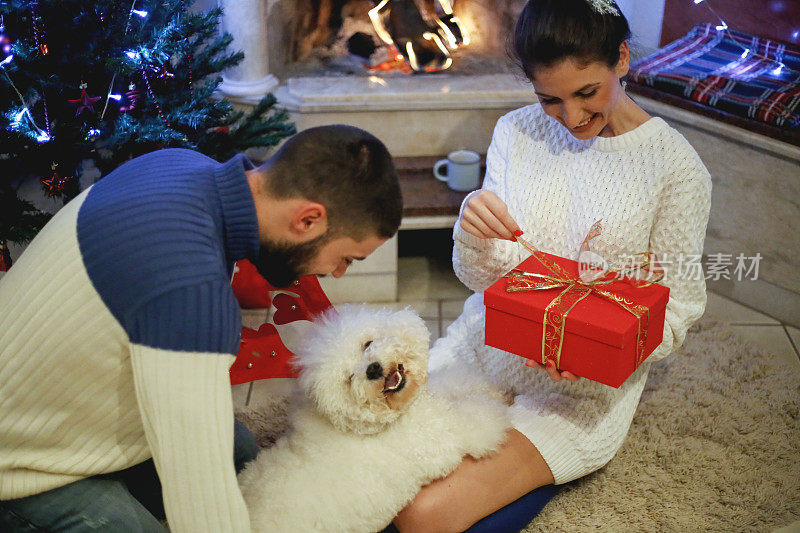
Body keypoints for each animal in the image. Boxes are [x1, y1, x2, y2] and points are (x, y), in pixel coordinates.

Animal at [239, 306, 512, 528]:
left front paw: (496, 389)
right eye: (350, 378)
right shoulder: (445, 436)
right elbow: (480, 416)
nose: (372, 369)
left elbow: (459, 380)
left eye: (367, 344)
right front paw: (504, 401)